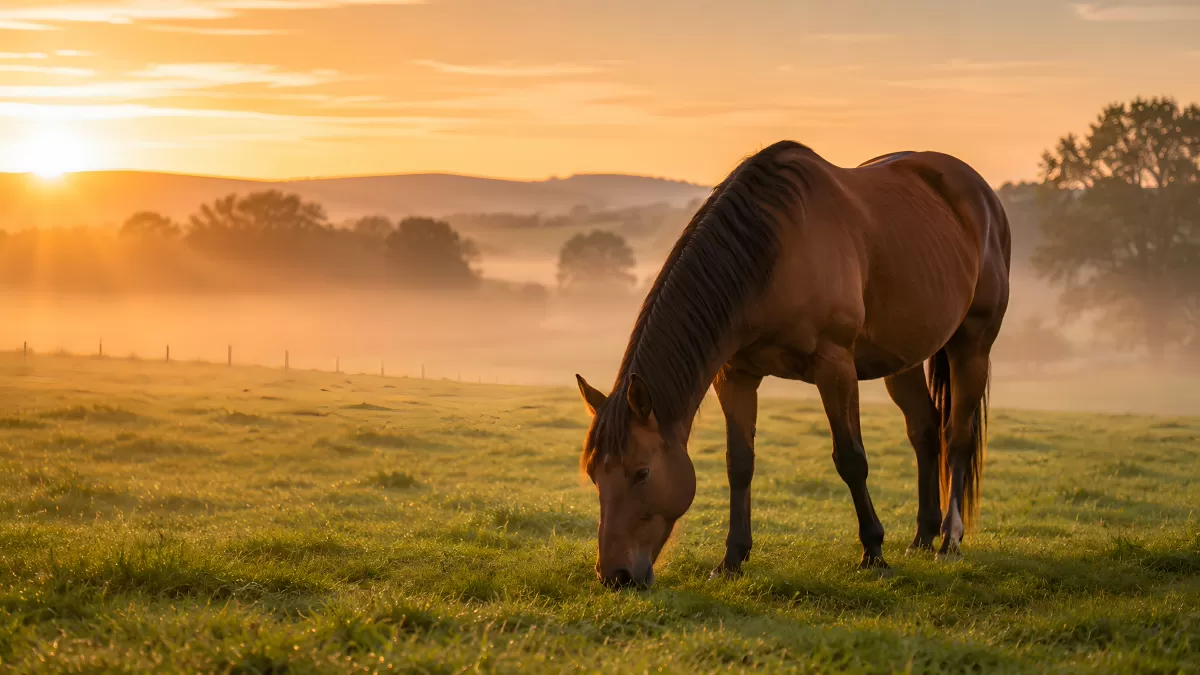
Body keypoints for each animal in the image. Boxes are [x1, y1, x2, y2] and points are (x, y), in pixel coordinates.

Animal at [575, 140, 1010, 588]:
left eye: (642, 472)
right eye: (593, 474)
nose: (615, 575)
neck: (773, 252)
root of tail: (982, 195)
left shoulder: (835, 367)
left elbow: (851, 459)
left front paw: (873, 552)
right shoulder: (736, 375)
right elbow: (739, 464)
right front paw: (732, 559)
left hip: (972, 346)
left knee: (957, 437)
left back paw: (949, 541)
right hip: (903, 359)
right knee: (925, 432)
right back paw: (922, 536)